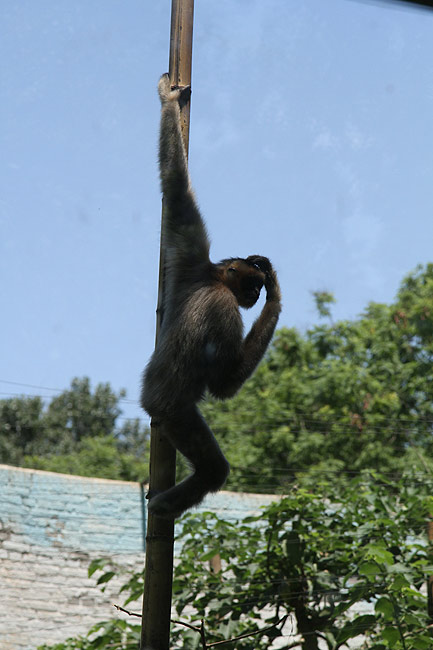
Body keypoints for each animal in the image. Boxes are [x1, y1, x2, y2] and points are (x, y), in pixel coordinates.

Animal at [140, 73, 281, 519]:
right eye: (251, 288)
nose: (254, 295)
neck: (213, 278)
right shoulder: (224, 307)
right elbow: (222, 384)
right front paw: (277, 296)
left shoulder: (191, 254)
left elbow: (175, 189)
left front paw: (166, 103)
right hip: (175, 412)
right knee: (213, 468)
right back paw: (166, 504)